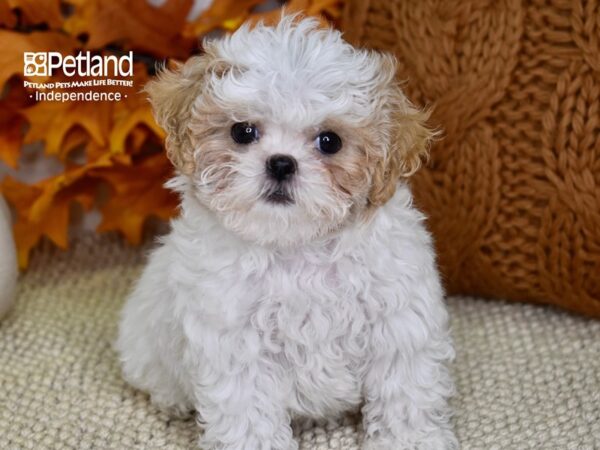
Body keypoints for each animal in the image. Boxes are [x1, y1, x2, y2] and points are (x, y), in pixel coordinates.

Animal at [116, 15, 454, 450]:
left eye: (330, 141)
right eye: (242, 132)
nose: (280, 163)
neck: (296, 246)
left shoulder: (396, 319)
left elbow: (404, 390)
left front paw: (411, 440)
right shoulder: (237, 341)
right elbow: (247, 411)